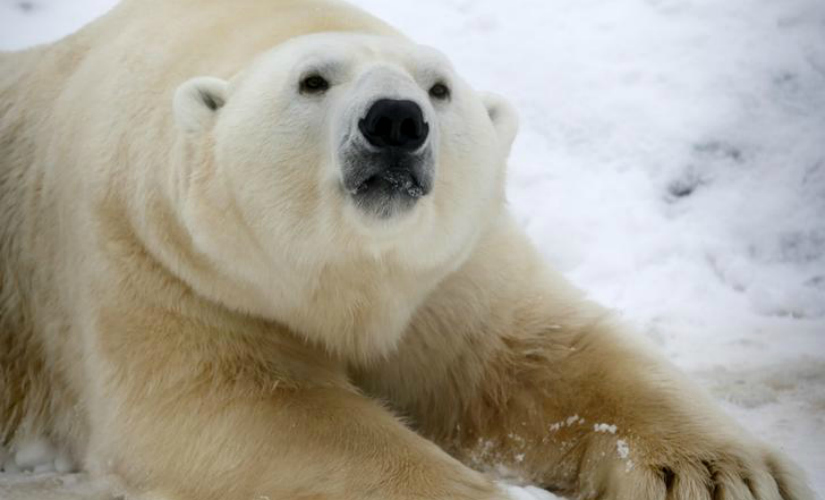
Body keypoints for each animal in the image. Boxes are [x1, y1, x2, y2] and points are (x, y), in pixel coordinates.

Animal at [0, 0, 814, 499]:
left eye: (441, 88)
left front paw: (723, 475)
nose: (395, 120)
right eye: (312, 80)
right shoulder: (160, 264)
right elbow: (240, 407)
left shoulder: (452, 277)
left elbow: (546, 362)